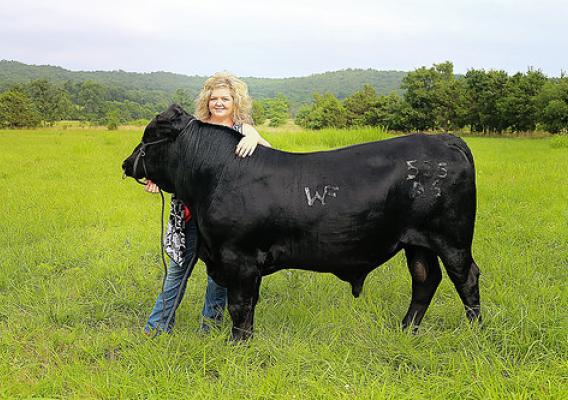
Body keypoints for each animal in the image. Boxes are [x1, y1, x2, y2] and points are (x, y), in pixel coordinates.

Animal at [123, 104, 480, 340]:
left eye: (150, 135)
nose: (126, 163)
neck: (215, 176)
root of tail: (445, 139)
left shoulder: (238, 258)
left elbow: (239, 305)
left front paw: (237, 345)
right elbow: (247, 305)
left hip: (453, 239)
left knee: (466, 278)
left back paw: (474, 332)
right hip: (417, 242)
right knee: (425, 279)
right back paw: (406, 329)